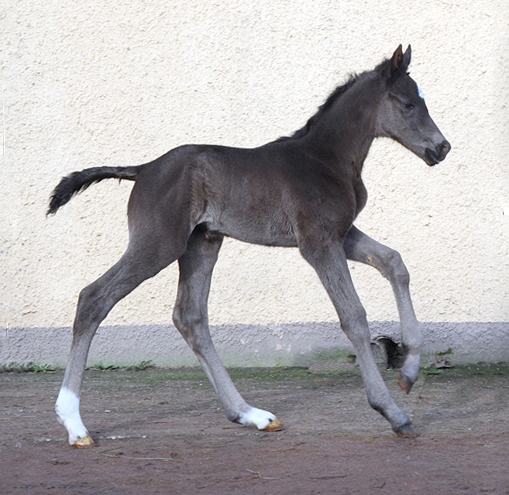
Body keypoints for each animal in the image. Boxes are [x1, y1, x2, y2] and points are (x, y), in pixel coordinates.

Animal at [49, 45, 450, 450]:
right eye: (408, 104)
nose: (442, 147)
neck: (326, 158)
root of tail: (143, 169)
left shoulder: (341, 233)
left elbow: (394, 263)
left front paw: (409, 372)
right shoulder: (318, 242)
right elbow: (353, 315)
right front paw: (393, 412)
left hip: (202, 243)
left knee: (190, 317)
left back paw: (250, 415)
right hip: (158, 243)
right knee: (94, 297)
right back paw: (74, 424)